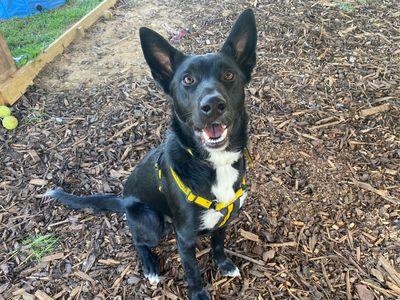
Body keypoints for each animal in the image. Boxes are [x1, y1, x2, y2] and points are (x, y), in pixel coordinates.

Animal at [46, 9, 256, 300]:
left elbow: (218, 243)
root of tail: (123, 200)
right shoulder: (185, 237)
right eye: (187, 80)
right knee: (137, 240)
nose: (213, 105)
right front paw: (198, 293)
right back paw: (150, 266)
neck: (213, 163)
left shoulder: (224, 218)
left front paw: (223, 264)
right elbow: (192, 271)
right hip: (152, 221)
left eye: (228, 75)